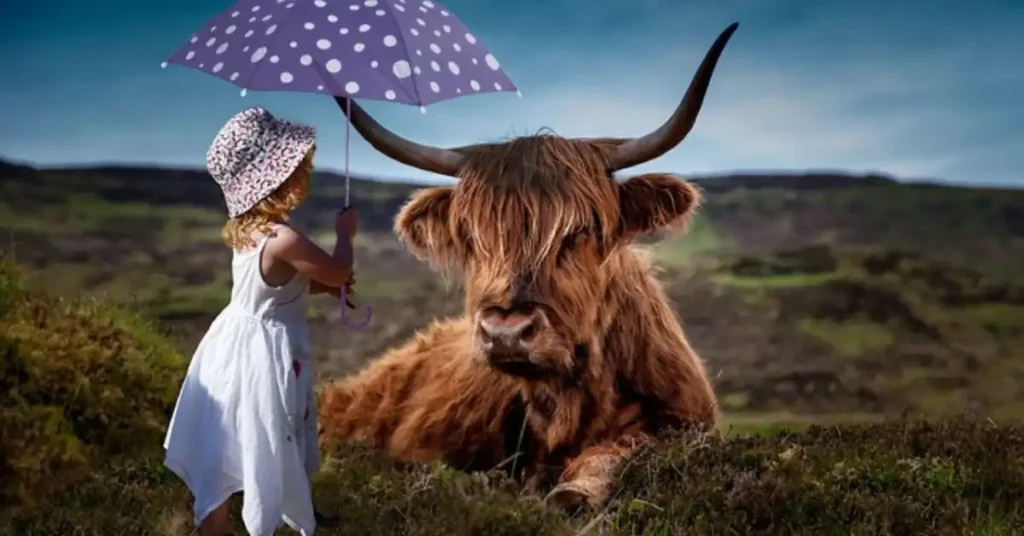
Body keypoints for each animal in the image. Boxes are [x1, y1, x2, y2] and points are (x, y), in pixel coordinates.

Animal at [315, 22, 741, 508]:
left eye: (580, 231)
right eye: (473, 235)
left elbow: (622, 449)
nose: (506, 332)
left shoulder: (682, 422)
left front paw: (576, 489)